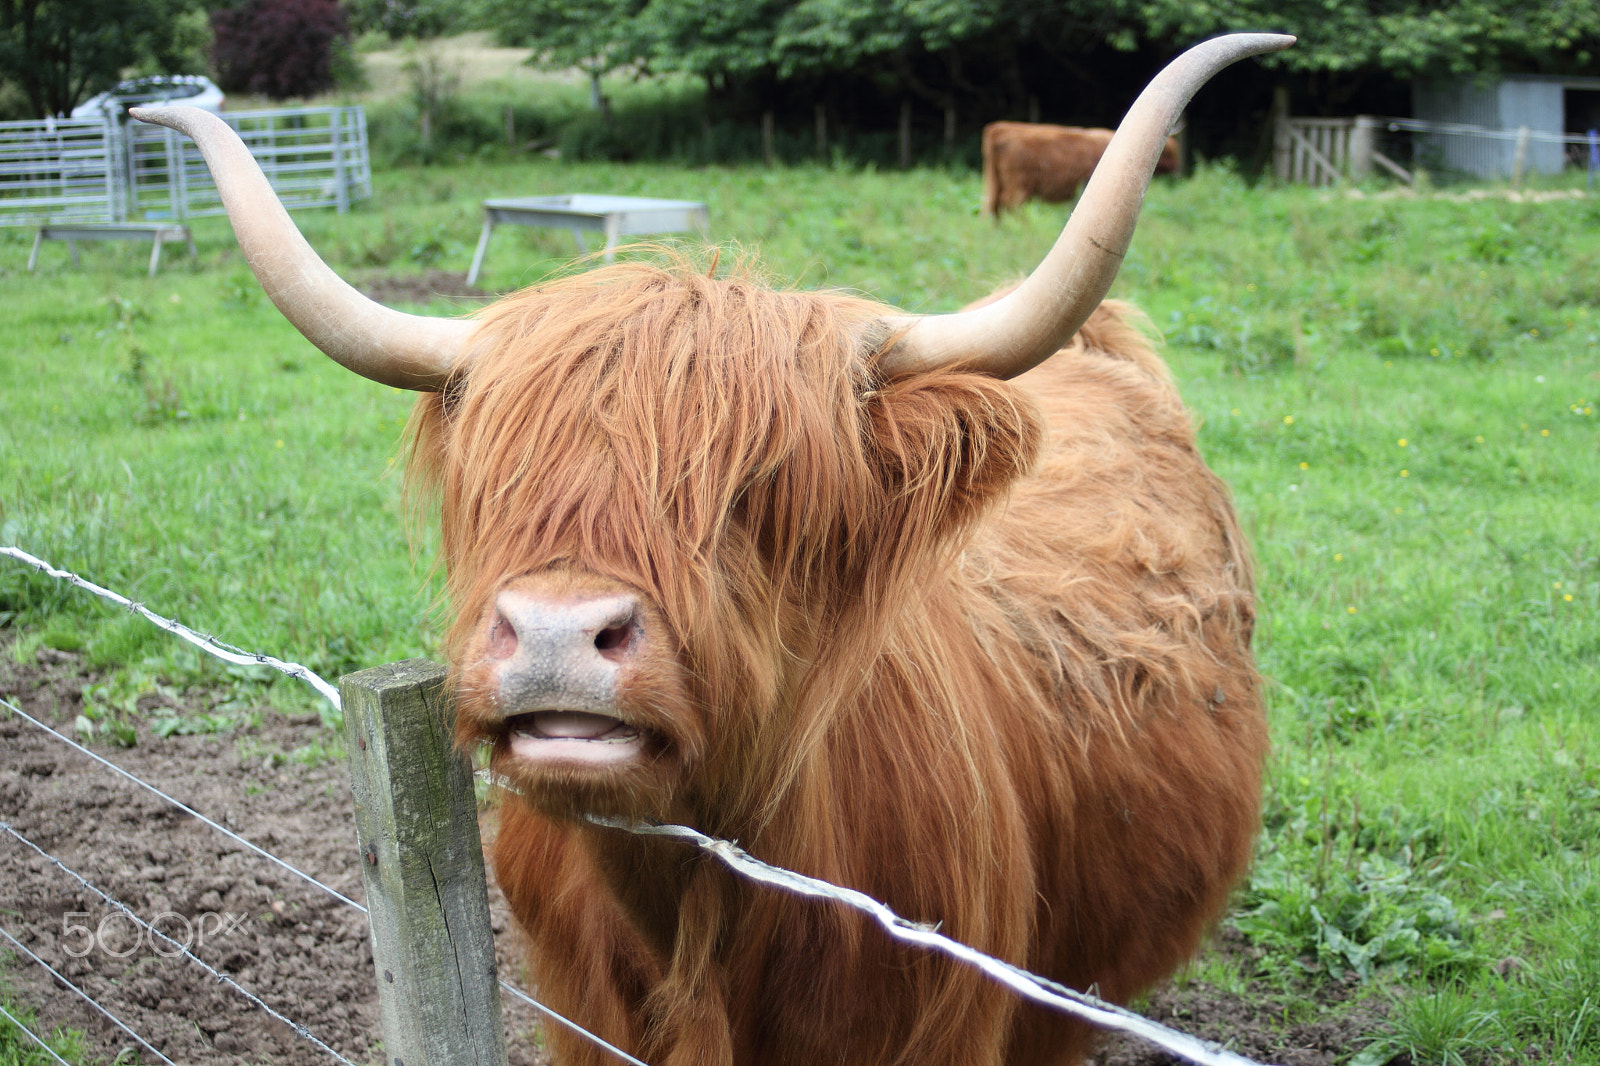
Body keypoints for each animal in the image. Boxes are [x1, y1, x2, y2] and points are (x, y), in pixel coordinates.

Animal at [982, 121, 1182, 220]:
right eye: (1168, 151)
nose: (1177, 169)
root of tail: (999, 128)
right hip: (1019, 186)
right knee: (1010, 205)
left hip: (996, 182)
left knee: (993, 205)